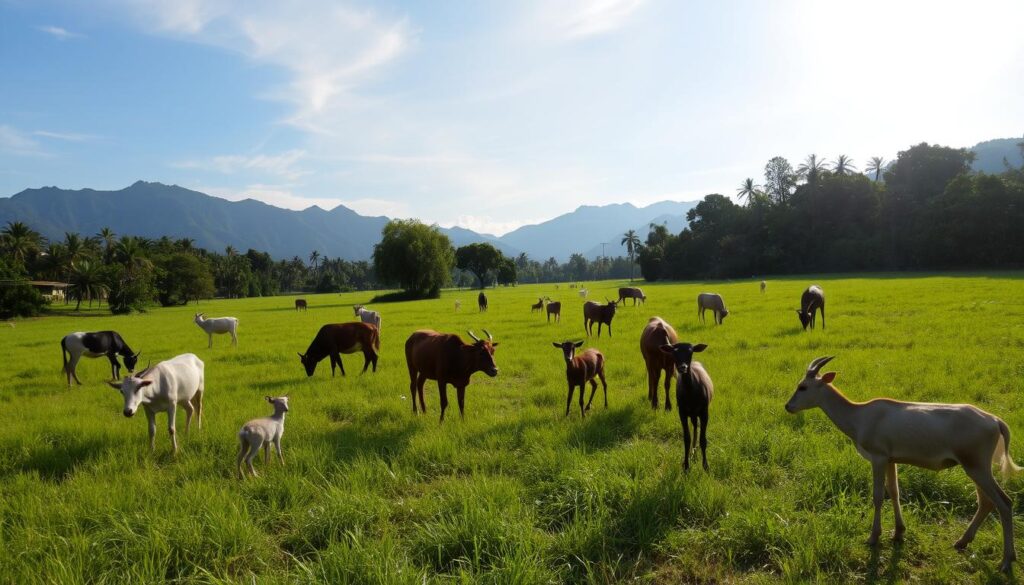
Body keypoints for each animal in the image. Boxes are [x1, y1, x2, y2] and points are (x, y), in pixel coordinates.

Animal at [786, 356, 1019, 573]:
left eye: (802, 386)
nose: (788, 406)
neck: (860, 416)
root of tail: (995, 420)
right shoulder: (891, 460)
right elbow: (894, 491)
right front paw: (898, 533)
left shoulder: (878, 458)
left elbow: (878, 496)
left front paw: (873, 537)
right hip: (974, 468)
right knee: (986, 502)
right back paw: (962, 542)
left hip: (976, 467)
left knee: (1004, 502)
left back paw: (1006, 561)